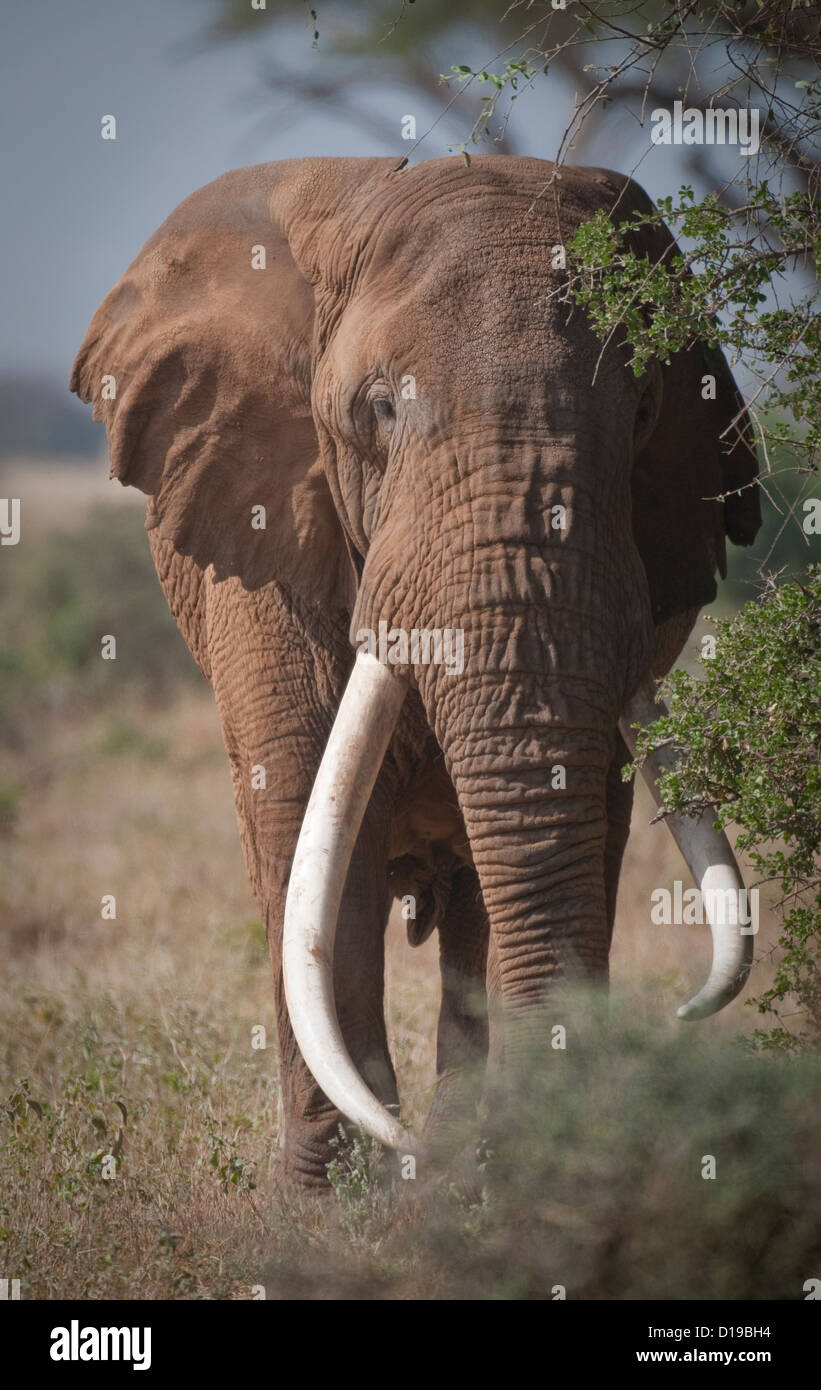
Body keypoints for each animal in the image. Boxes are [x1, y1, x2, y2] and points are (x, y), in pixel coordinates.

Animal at [73, 157, 761, 1184]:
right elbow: (311, 829)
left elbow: (584, 817)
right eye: (380, 409)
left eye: (643, 415)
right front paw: (331, 1201)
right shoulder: (270, 527)